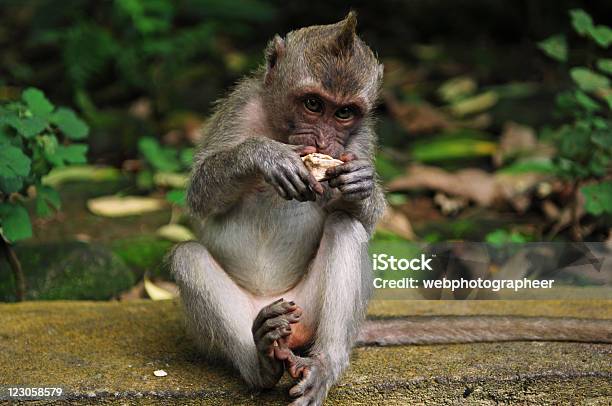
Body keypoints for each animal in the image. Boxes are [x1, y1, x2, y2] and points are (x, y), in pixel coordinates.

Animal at [170, 11, 384, 404]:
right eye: (313, 104)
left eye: (344, 112)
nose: (323, 141)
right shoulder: (240, 105)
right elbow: (199, 195)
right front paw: (264, 156)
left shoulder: (360, 138)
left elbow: (361, 217)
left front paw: (361, 184)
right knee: (188, 257)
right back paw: (260, 358)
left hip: (306, 311)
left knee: (346, 227)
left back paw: (324, 364)